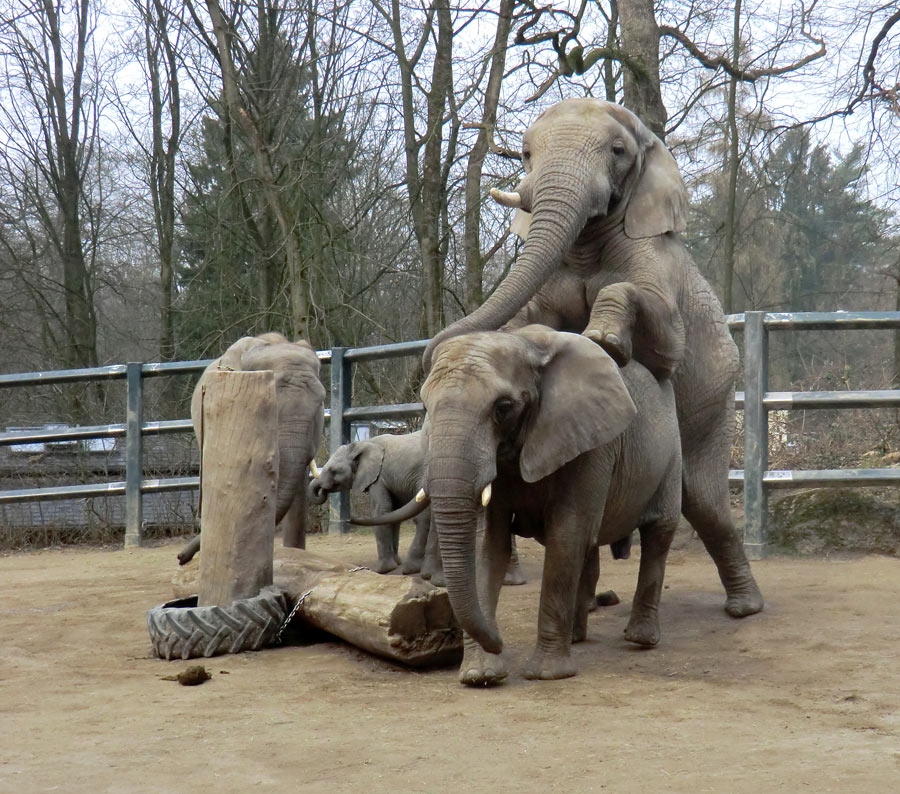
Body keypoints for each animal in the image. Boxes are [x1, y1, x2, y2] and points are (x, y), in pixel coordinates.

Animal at [422, 324, 684, 684]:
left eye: (503, 407)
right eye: (425, 406)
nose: (498, 639)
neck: (527, 344)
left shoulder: (589, 443)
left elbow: (566, 535)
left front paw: (545, 674)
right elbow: (488, 543)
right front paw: (480, 675)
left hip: (671, 453)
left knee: (658, 532)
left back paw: (640, 639)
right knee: (589, 546)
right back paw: (575, 637)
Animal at [426, 97, 764, 620]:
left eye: (618, 151)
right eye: (525, 154)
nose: (430, 350)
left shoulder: (654, 256)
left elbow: (665, 340)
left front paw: (605, 341)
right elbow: (531, 320)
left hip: (716, 397)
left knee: (703, 501)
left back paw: (744, 609)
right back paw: (593, 606)